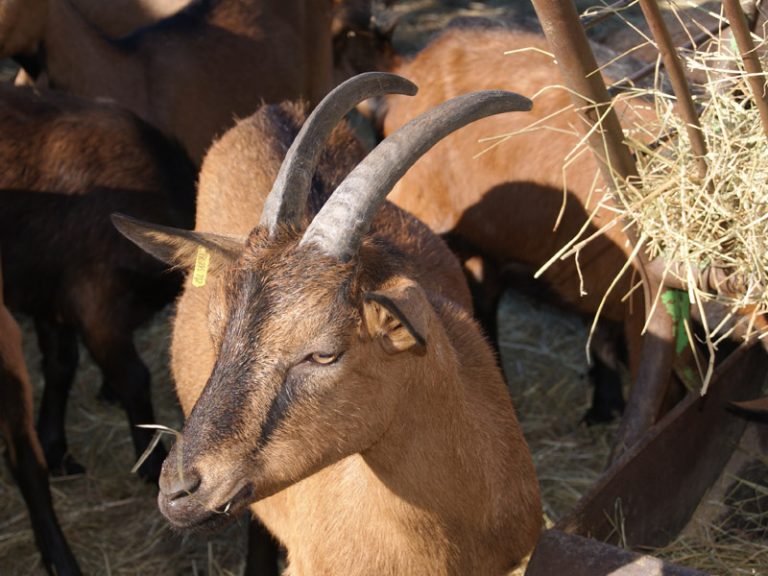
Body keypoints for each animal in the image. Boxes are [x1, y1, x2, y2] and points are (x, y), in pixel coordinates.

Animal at [0, 84, 198, 482]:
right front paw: (151, 463)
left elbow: (60, 365)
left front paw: (55, 450)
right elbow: (134, 379)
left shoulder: (54, 300)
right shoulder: (97, 308)